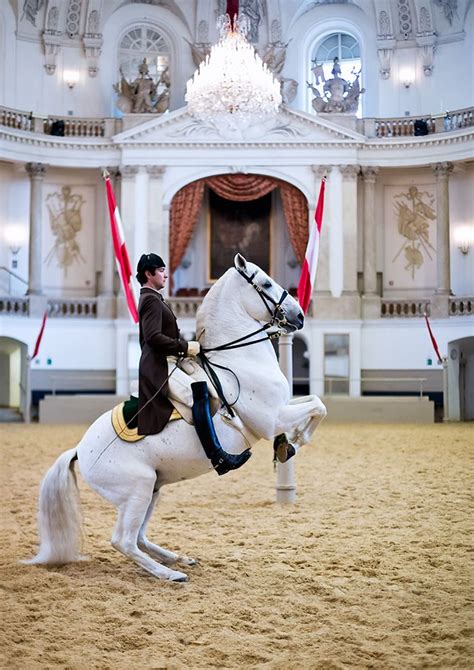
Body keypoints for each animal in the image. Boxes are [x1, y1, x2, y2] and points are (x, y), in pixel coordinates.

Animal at [25, 256, 326, 584]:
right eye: (267, 283)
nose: (299, 316)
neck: (239, 361)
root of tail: (80, 450)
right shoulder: (272, 418)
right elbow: (318, 407)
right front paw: (294, 442)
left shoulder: (282, 408)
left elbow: (315, 402)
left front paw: (288, 444)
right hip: (138, 489)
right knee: (124, 541)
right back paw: (170, 573)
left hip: (153, 489)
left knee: (139, 538)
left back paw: (178, 559)